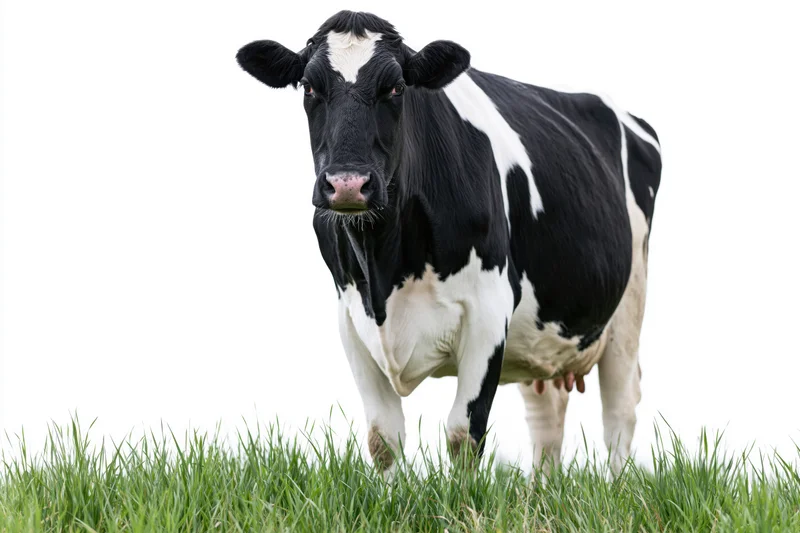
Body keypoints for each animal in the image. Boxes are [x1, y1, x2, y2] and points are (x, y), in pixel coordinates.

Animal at [236, 10, 662, 476]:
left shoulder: (490, 311)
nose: (348, 183)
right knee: (547, 416)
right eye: (310, 87)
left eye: (396, 87)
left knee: (620, 410)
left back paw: (617, 483)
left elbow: (464, 433)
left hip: (628, 307)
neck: (386, 267)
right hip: (543, 333)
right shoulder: (351, 318)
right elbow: (383, 438)